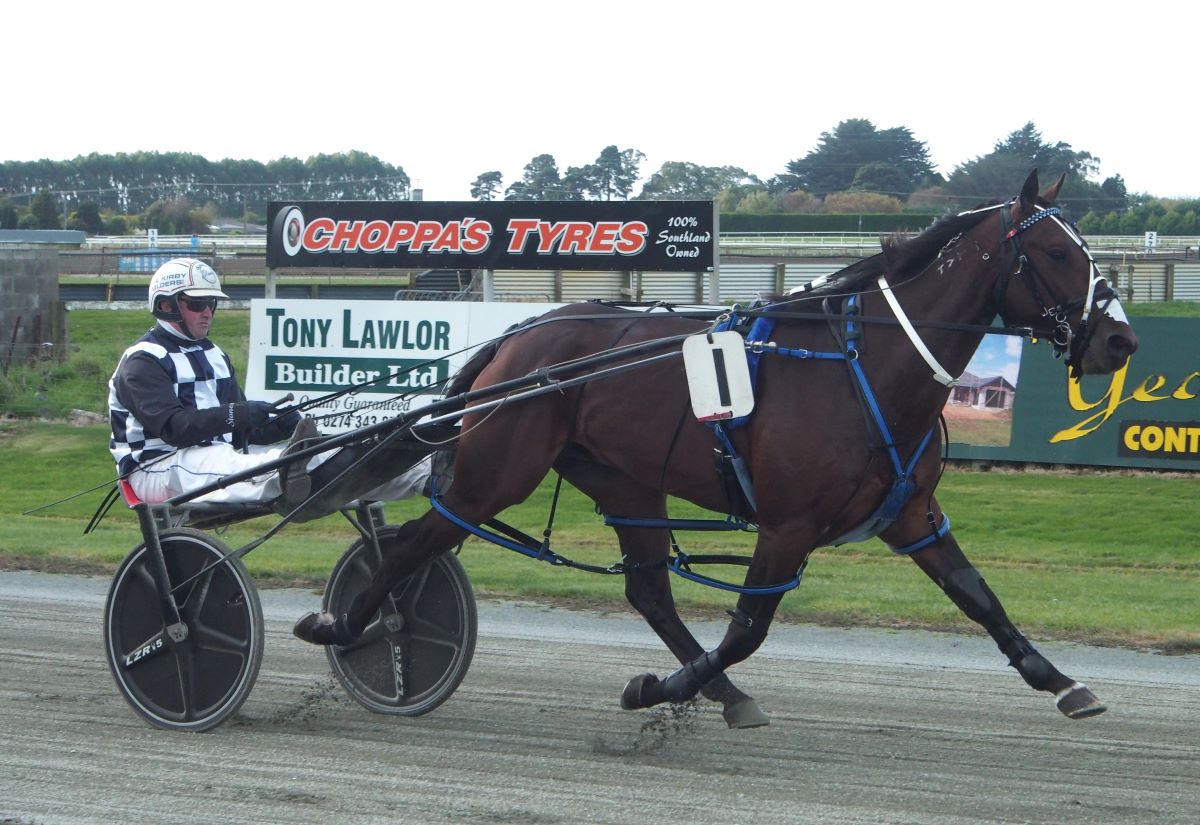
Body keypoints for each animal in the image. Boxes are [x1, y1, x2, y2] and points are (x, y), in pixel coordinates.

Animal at [294, 171, 1138, 728]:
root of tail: (515, 340)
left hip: (625, 480)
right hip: (494, 474)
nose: (1120, 339)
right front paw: (657, 688)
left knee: (648, 591)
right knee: (415, 541)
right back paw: (351, 625)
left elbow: (979, 595)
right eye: (1057, 254)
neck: (867, 366)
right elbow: (748, 628)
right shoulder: (788, 524)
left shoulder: (913, 514)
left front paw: (1062, 680)